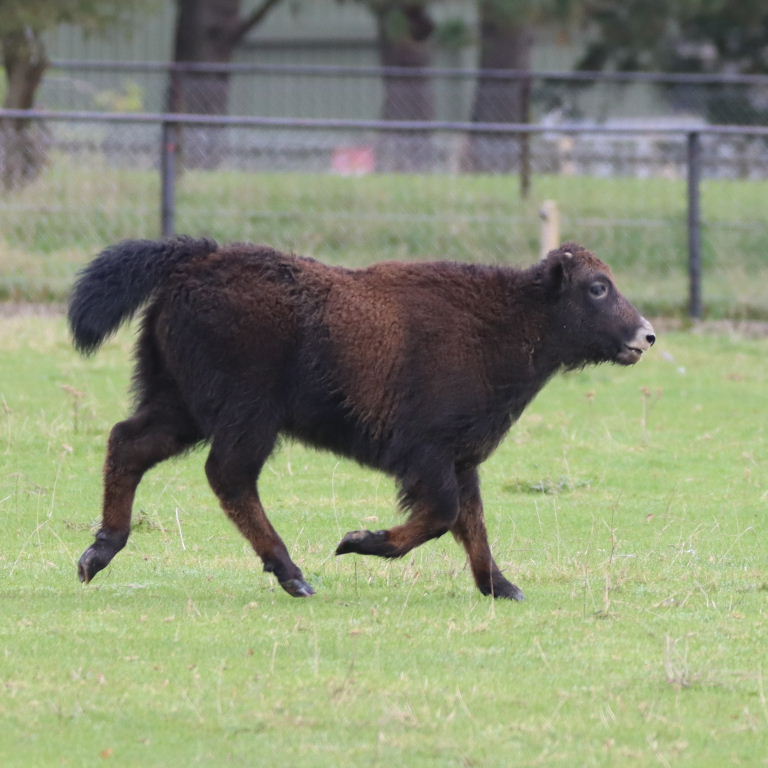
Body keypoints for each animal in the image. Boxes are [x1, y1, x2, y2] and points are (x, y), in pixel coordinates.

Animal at [68, 237, 655, 600]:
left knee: (129, 444)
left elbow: (472, 523)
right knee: (229, 477)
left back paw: (98, 554)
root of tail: (196, 260)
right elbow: (442, 516)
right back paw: (295, 576)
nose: (646, 335)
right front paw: (356, 541)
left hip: (180, 408)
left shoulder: (461, 460)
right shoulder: (430, 456)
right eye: (597, 287)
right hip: (246, 418)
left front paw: (502, 586)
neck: (510, 315)